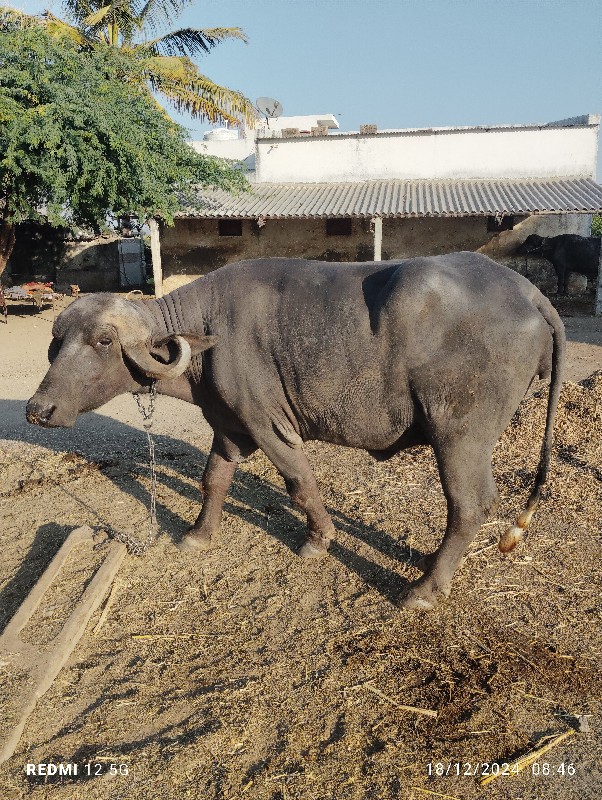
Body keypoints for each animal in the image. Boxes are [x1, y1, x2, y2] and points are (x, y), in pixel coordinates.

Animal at [27, 253, 564, 608]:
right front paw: (198, 535)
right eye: (57, 341)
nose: (37, 409)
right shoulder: (230, 426)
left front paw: (318, 540)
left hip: (459, 433)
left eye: (102, 340)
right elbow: (213, 479)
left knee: (470, 504)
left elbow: (300, 483)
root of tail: (530, 293)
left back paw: (424, 589)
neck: (207, 334)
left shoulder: (271, 426)